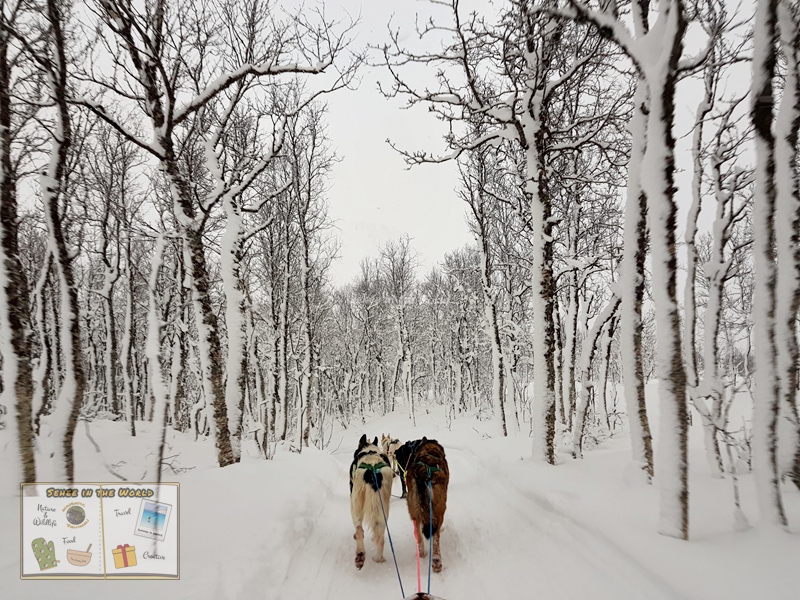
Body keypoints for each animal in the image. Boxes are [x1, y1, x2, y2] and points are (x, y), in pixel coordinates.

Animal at [352, 434, 396, 568]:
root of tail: (372, 473)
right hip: (382, 511)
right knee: (380, 538)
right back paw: (378, 558)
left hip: (355, 506)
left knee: (359, 530)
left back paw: (361, 554)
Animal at [396, 438, 450, 576]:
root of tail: (422, 474)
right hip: (439, 507)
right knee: (435, 536)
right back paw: (436, 560)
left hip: (413, 508)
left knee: (418, 533)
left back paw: (421, 552)